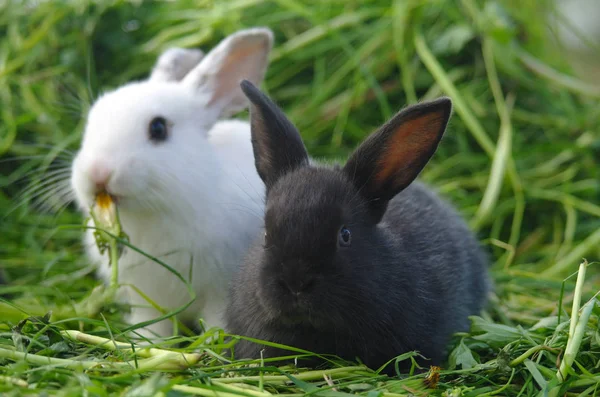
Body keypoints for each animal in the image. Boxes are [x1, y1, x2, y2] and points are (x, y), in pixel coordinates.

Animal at [71, 27, 274, 338]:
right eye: (92, 123)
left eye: (158, 128)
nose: (97, 173)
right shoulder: (145, 296)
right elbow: (154, 323)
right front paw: (145, 340)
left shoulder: (219, 288)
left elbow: (216, 318)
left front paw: (215, 340)